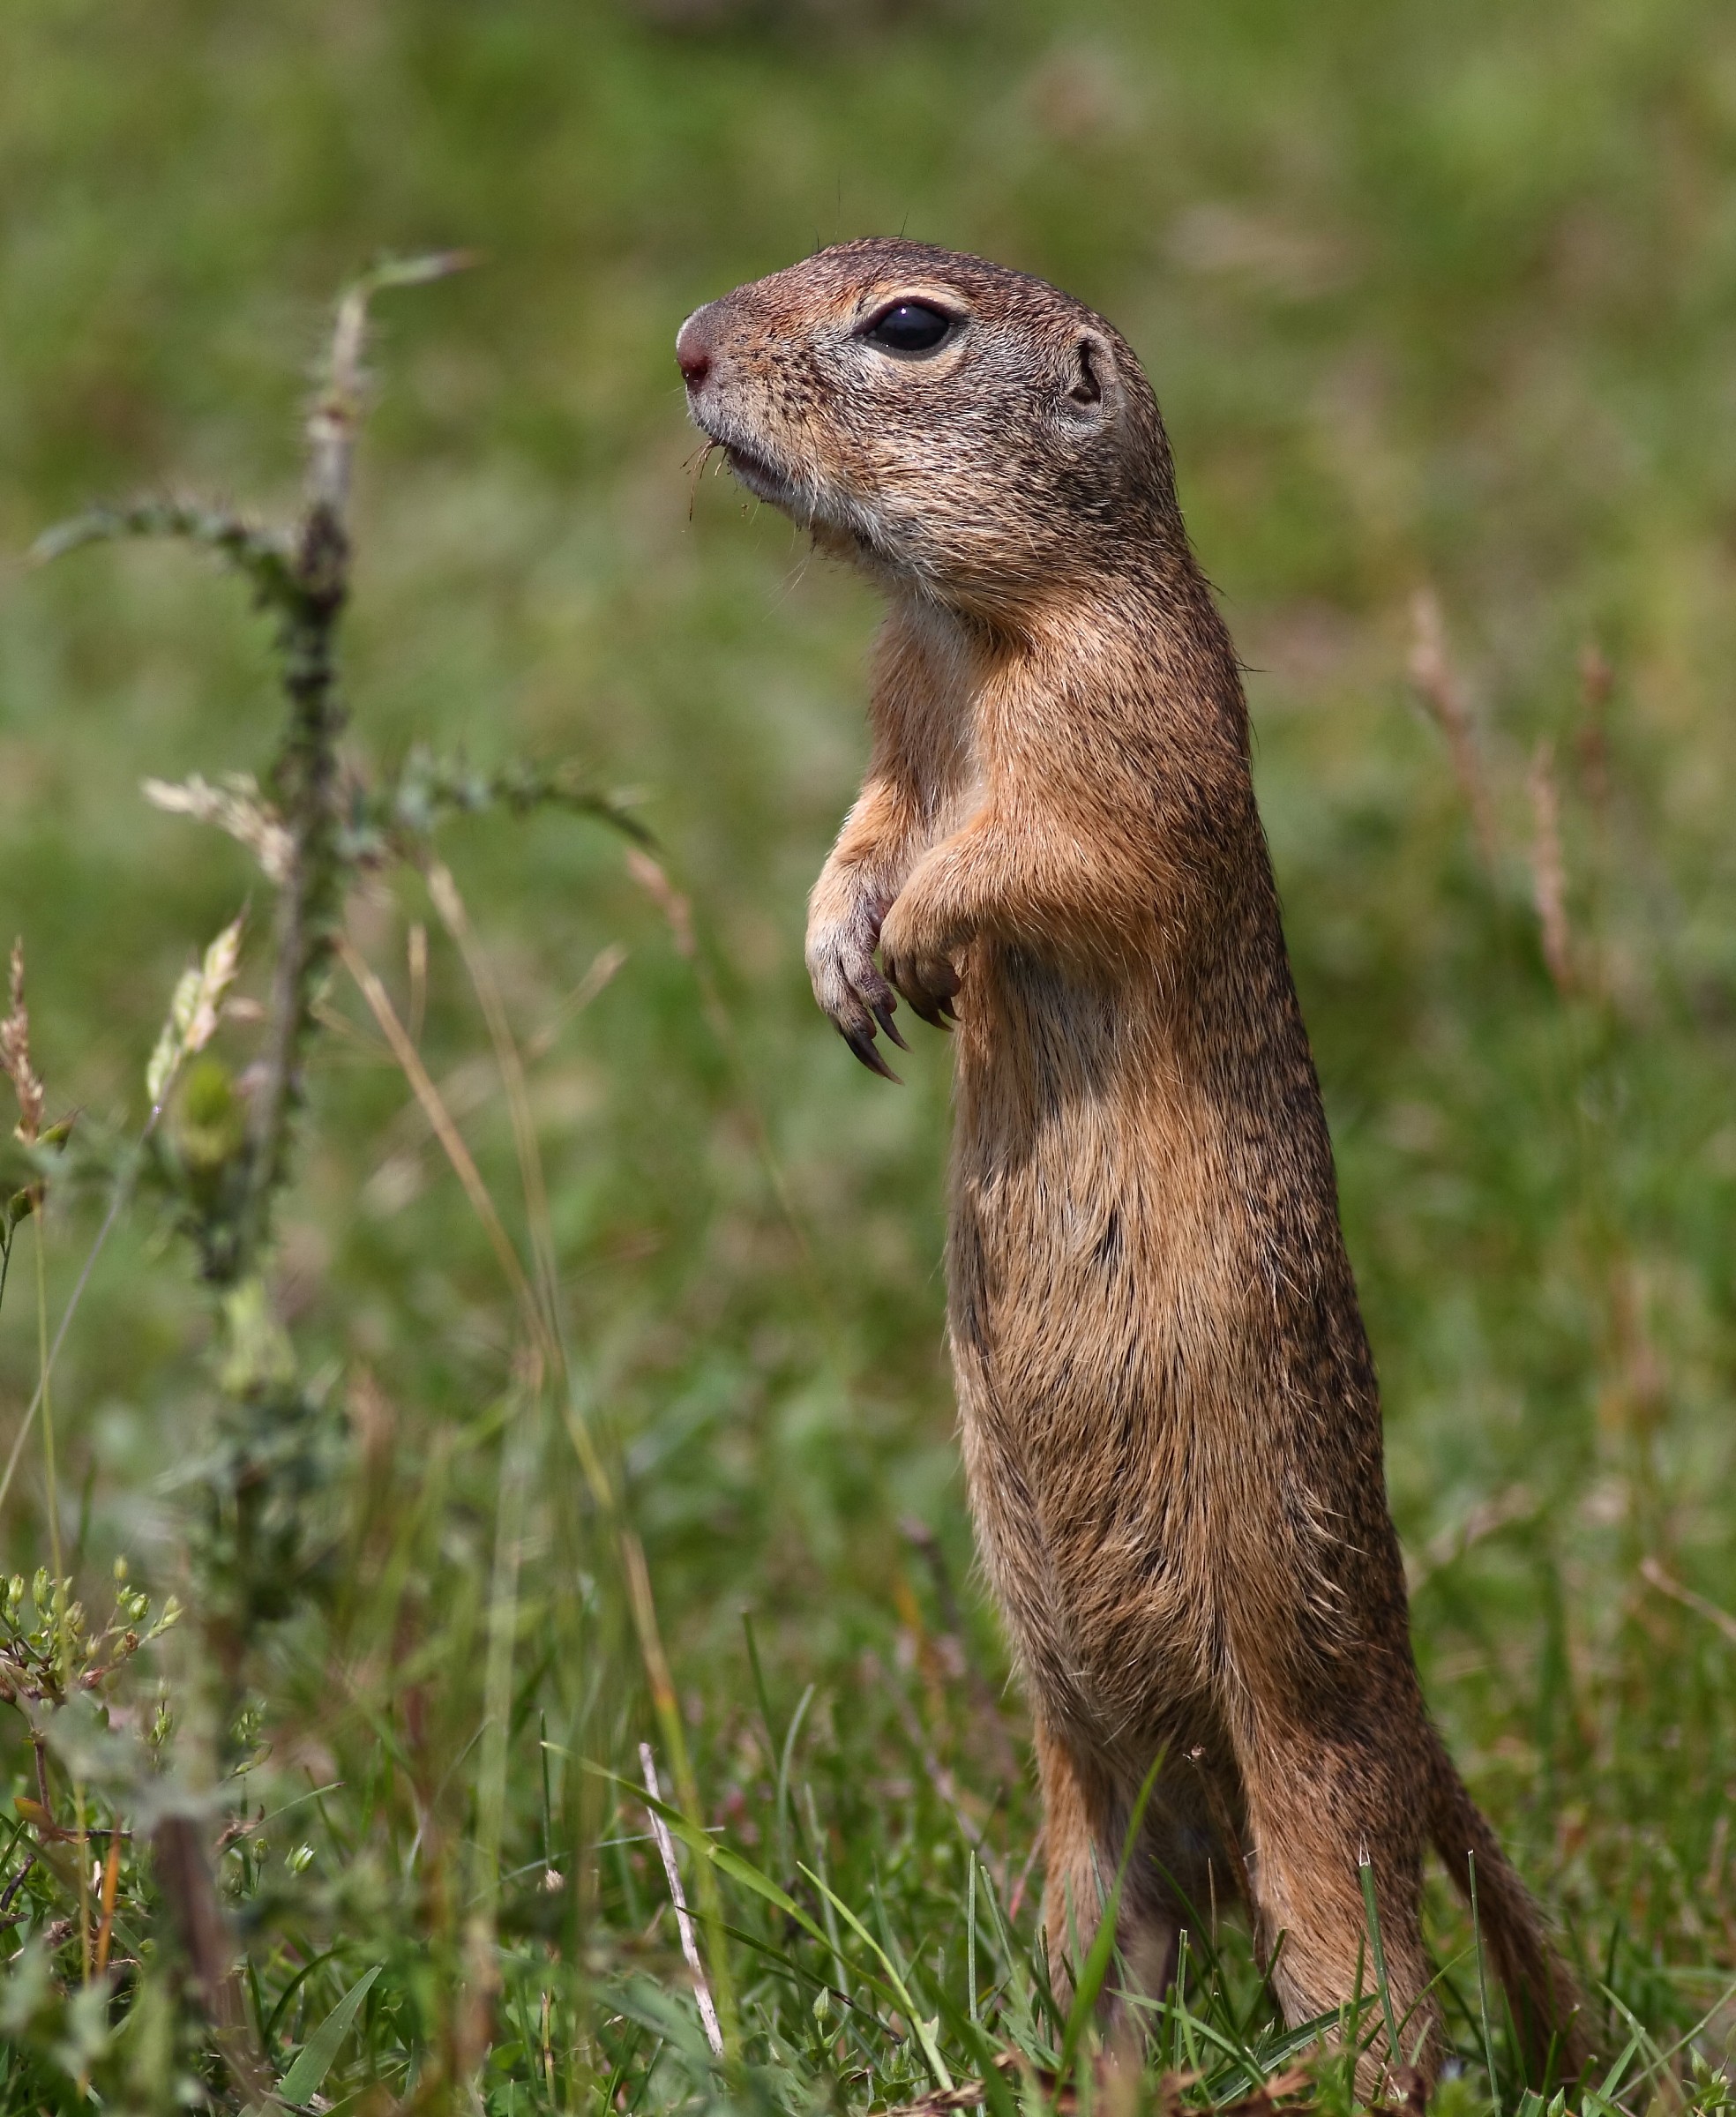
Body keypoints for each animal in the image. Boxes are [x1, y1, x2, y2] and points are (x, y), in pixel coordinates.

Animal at [677, 239, 1588, 2091]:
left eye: (907, 327)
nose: (683, 351)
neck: (964, 630)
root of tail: (1405, 1718)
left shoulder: (1123, 729)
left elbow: (1041, 855)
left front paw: (924, 943)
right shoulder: (894, 728)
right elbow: (861, 829)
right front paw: (839, 957)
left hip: (1309, 1773)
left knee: (1382, 2004)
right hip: (1087, 1828)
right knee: (1117, 1968)